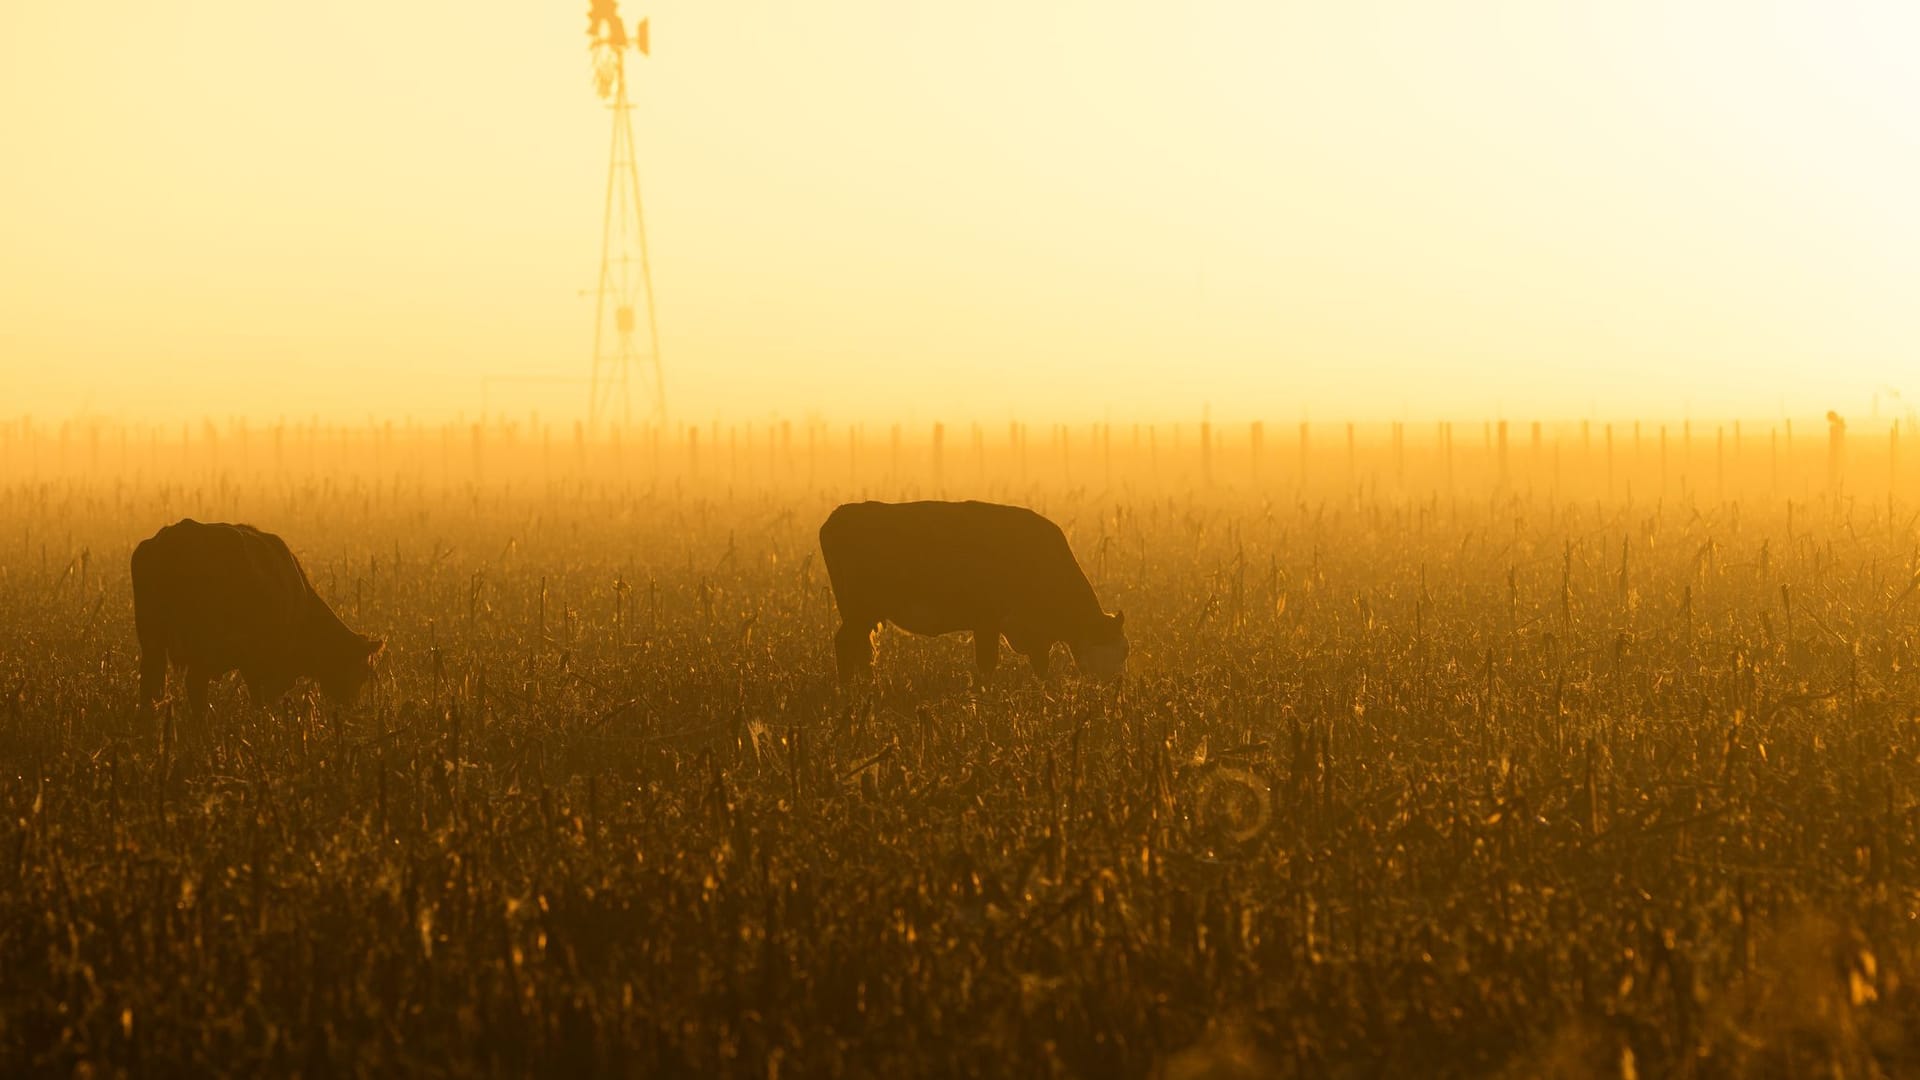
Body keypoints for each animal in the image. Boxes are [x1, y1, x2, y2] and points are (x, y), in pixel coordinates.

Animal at [131, 518, 382, 711]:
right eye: (363, 672)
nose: (351, 706)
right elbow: (263, 696)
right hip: (200, 647)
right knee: (194, 685)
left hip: (152, 641)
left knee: (149, 684)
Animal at [821, 499, 1121, 680]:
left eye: (1124, 651)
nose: (1115, 686)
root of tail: (840, 514)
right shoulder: (988, 622)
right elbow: (988, 664)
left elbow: (1040, 665)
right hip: (859, 610)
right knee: (846, 644)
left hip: (864, 614)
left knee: (861, 649)